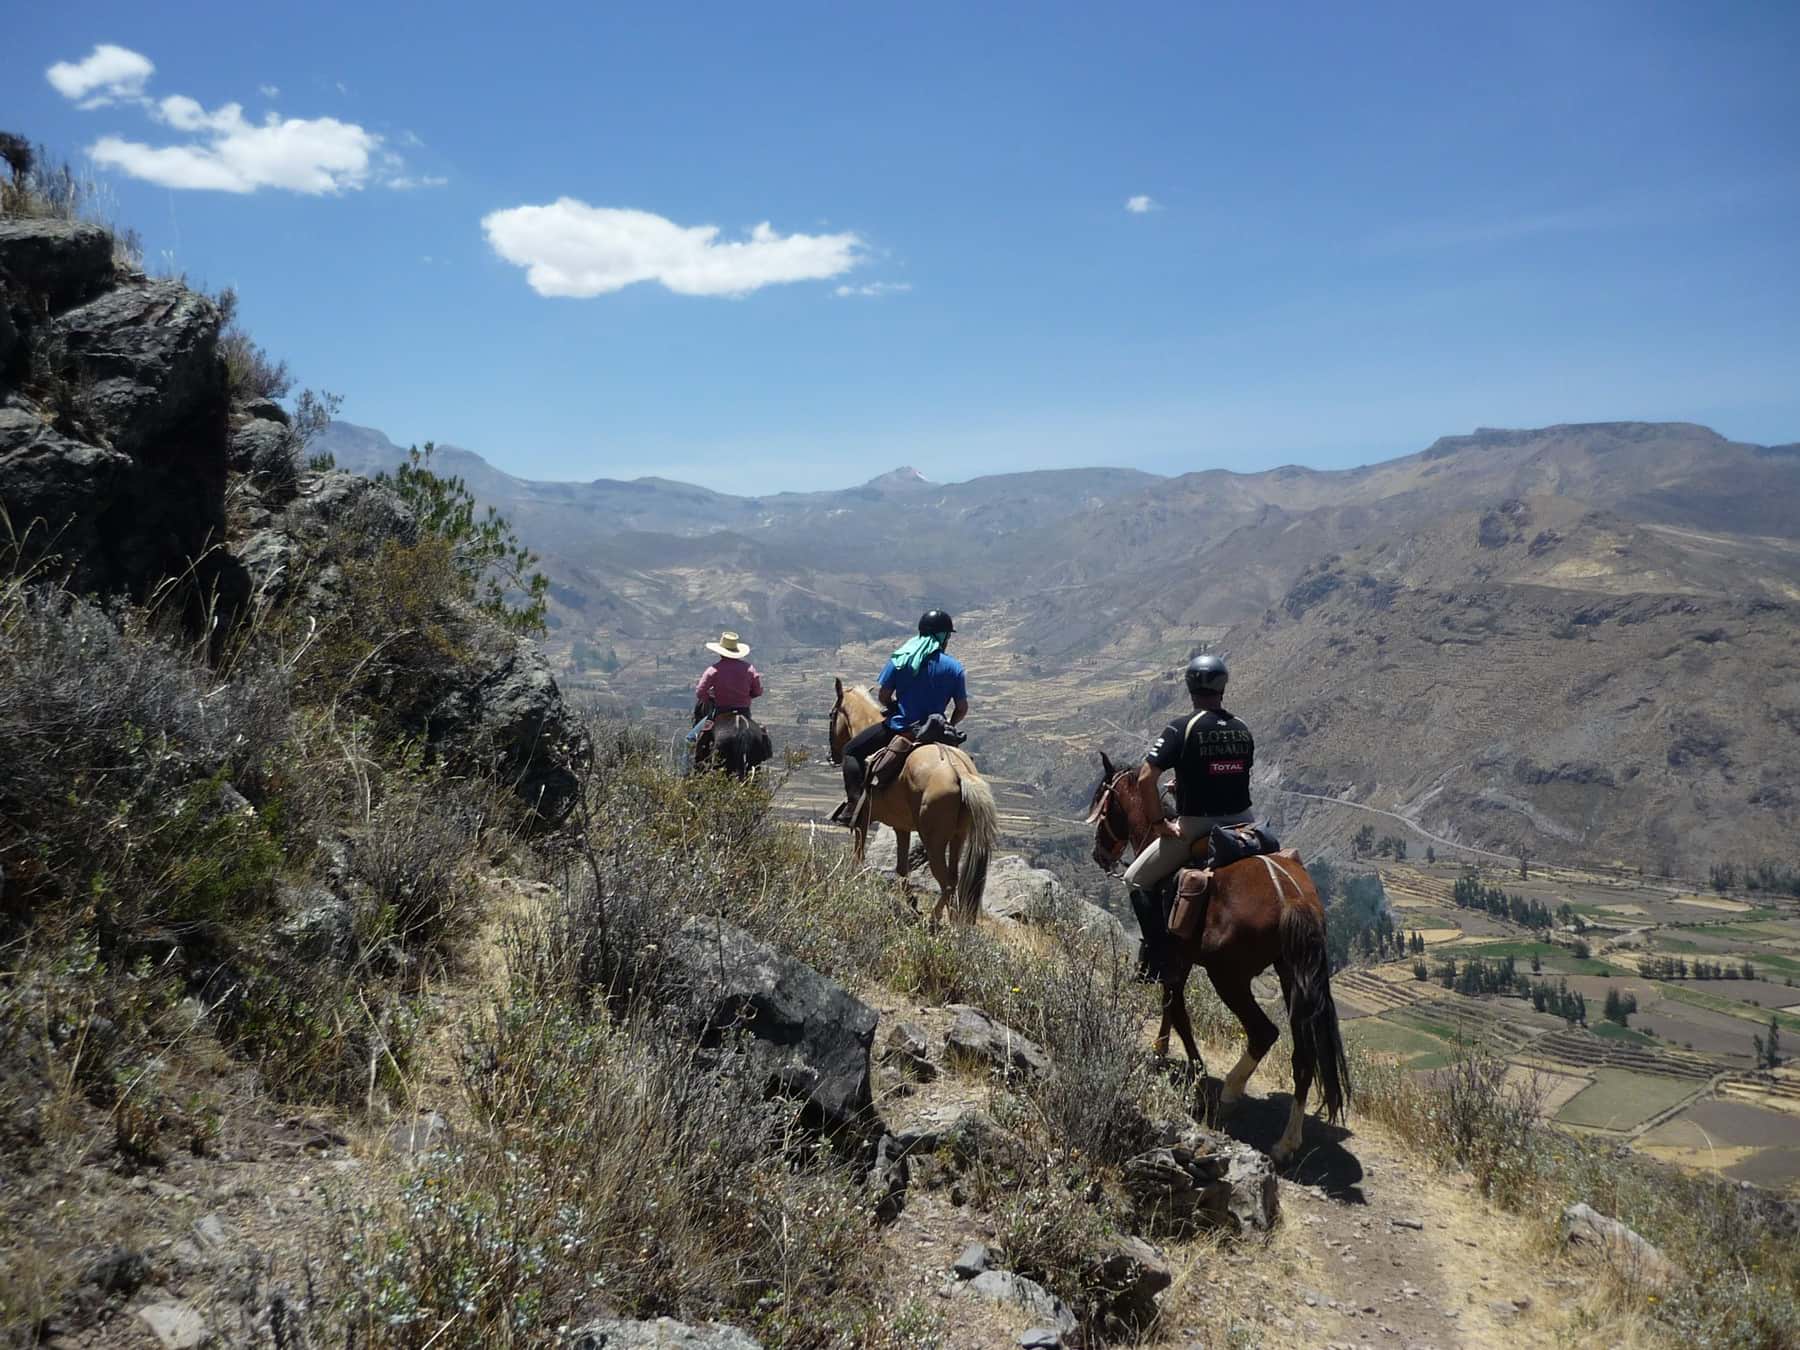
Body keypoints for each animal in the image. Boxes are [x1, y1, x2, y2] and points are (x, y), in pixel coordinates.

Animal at [828, 680, 1000, 928]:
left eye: (832, 715)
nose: (832, 756)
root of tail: (959, 771)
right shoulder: (901, 827)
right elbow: (902, 868)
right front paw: (912, 902)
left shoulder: (862, 820)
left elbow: (858, 856)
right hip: (959, 837)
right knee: (954, 879)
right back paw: (953, 923)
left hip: (934, 841)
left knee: (946, 882)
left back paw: (934, 919)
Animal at [1080, 745, 1353, 1166]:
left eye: (1103, 803)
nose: (1098, 853)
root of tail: (1291, 899)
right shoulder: (1180, 961)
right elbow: (1171, 1003)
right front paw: (1162, 1050)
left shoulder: (1174, 957)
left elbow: (1178, 1011)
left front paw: (1193, 1072)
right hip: (1292, 977)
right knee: (1303, 1057)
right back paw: (1287, 1142)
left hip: (1229, 977)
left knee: (1264, 1032)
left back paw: (1230, 1093)